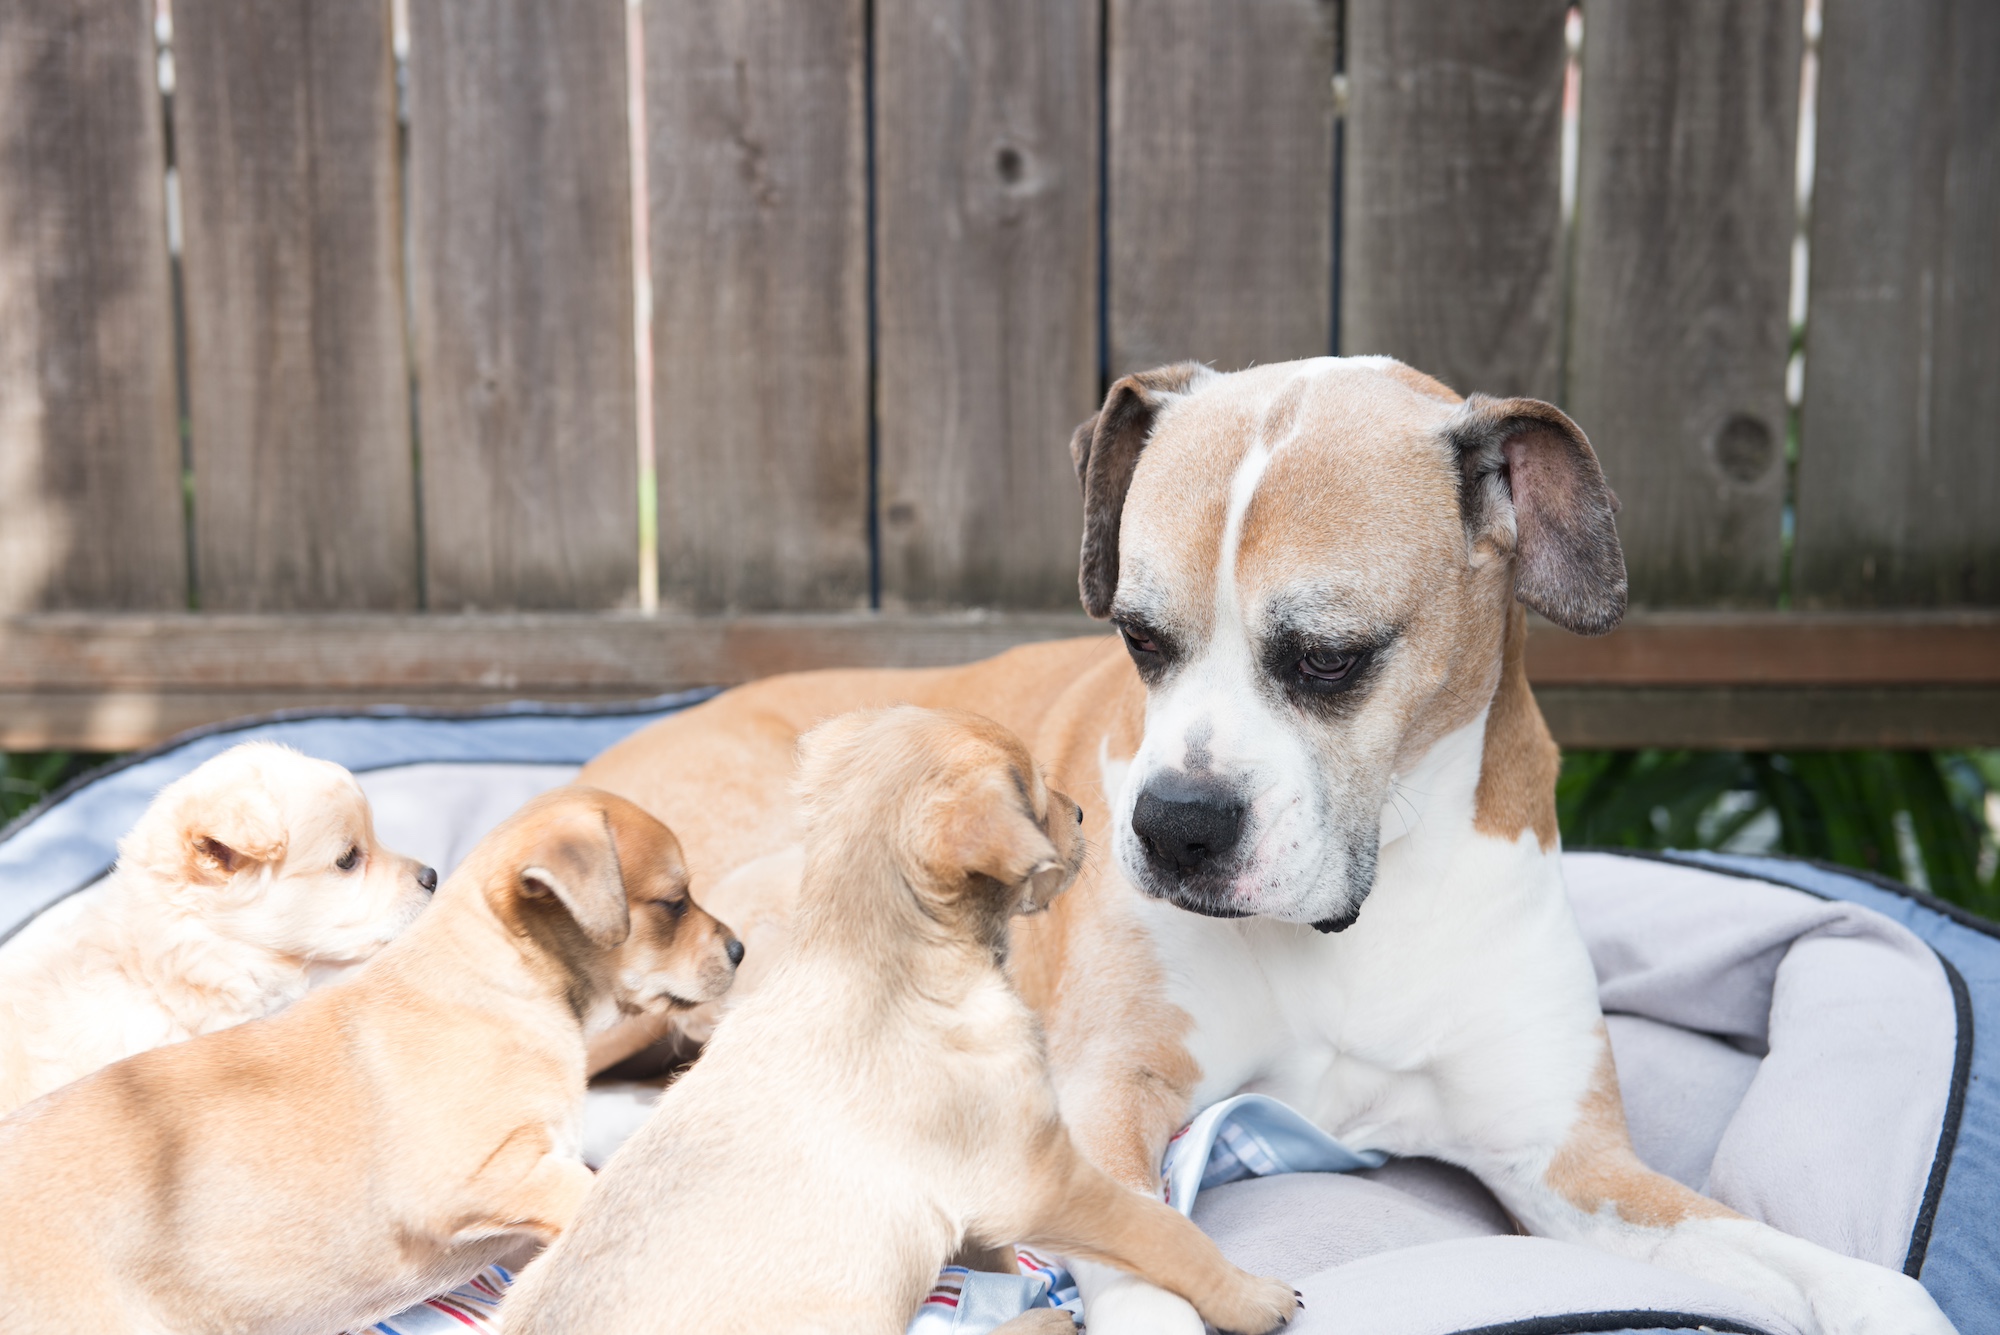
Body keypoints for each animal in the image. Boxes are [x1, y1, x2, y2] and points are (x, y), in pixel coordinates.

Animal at [504, 715, 1296, 1335]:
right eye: (1039, 799)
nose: (1082, 817)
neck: (870, 954)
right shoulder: (1044, 1178)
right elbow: (1162, 1231)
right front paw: (1250, 1296)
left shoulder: (985, 1202)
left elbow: (999, 1262)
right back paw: (1039, 1321)